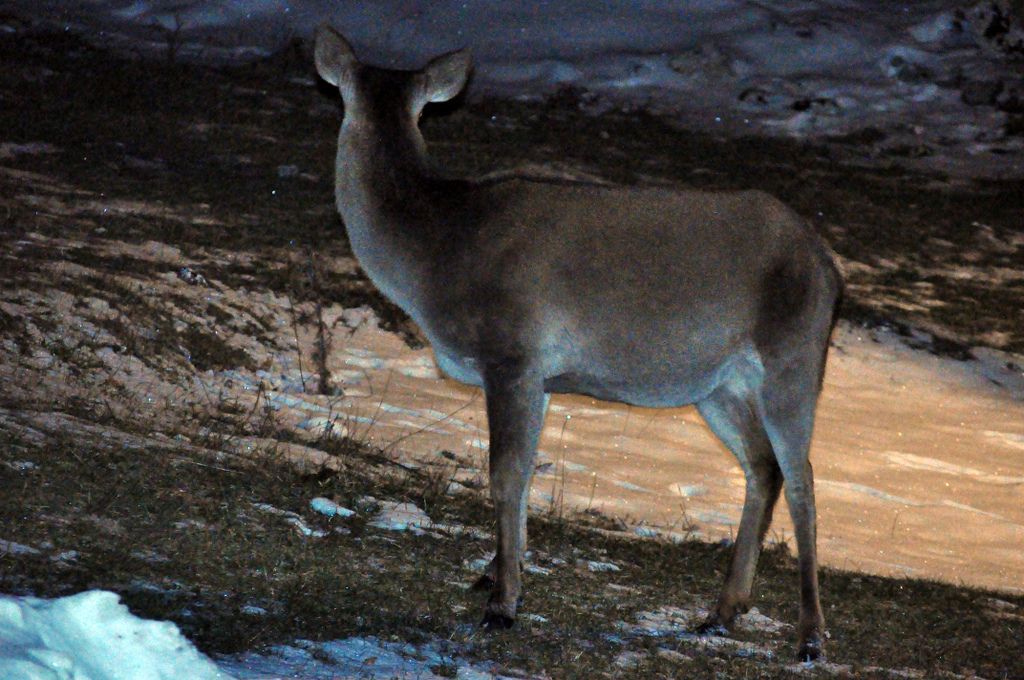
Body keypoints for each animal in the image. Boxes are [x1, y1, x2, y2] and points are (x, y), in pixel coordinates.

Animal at [314, 24, 843, 661]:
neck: (435, 252)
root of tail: (829, 269)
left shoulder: (512, 351)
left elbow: (504, 474)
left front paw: (502, 605)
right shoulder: (538, 374)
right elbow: (522, 473)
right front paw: (497, 575)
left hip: (795, 355)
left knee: (804, 480)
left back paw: (810, 636)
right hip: (718, 383)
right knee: (764, 468)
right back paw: (722, 612)